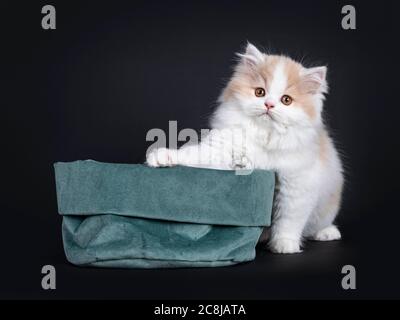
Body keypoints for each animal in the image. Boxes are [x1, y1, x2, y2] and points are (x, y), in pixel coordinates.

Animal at [147, 42, 344, 254]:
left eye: (286, 100)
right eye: (260, 92)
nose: (269, 104)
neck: (265, 135)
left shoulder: (298, 185)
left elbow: (289, 221)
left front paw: (285, 245)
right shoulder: (219, 150)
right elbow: (192, 154)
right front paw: (161, 156)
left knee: (316, 226)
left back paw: (327, 233)